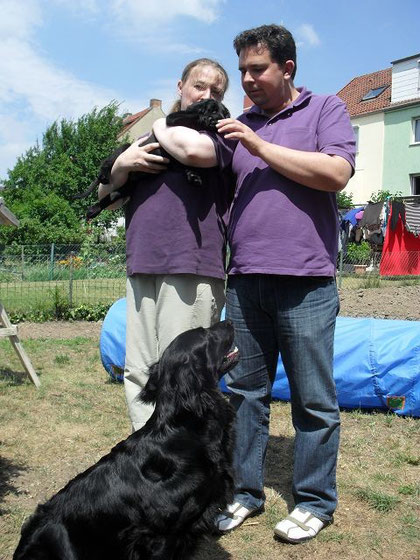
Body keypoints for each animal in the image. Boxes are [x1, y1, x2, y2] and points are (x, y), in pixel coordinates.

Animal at [72, 97, 230, 220]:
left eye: (225, 113)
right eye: (213, 110)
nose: (222, 119)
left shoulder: (181, 156)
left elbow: (188, 165)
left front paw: (193, 176)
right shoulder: (173, 119)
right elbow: (195, 116)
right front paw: (206, 118)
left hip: (127, 188)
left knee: (110, 196)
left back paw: (92, 210)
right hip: (125, 148)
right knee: (107, 162)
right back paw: (103, 175)